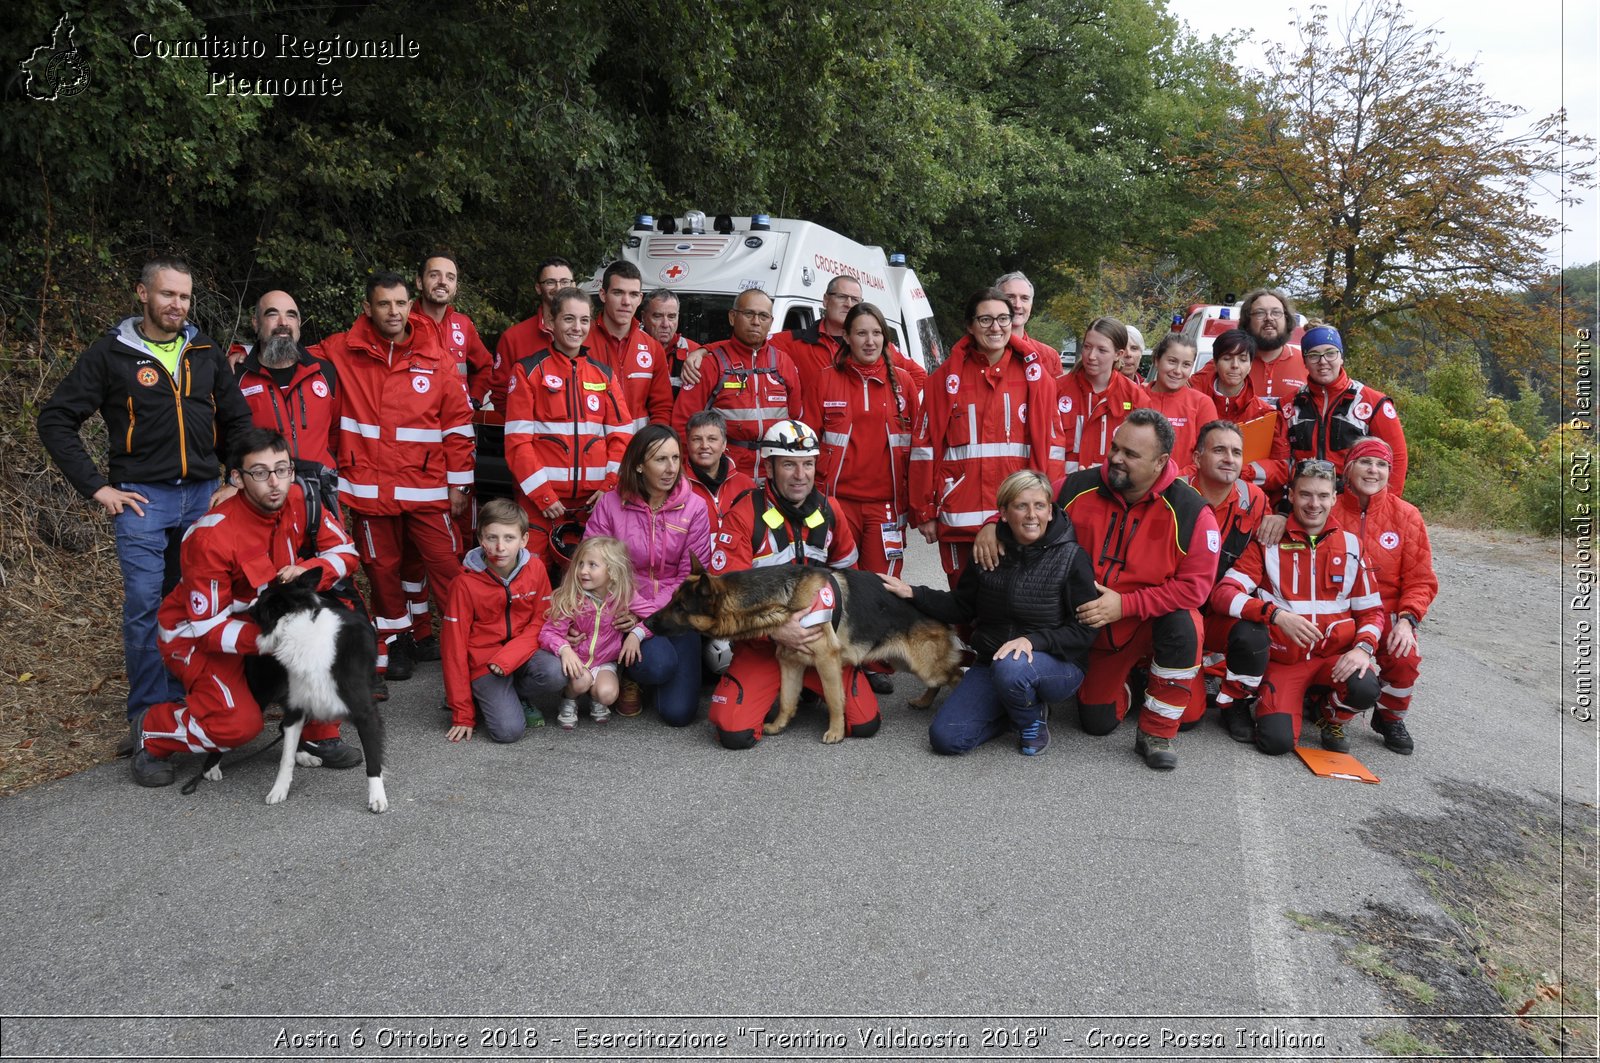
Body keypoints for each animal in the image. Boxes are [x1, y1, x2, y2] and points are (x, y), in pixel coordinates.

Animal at [198, 573, 388, 813]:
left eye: (262, 598)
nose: (245, 604)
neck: (301, 627)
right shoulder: (296, 708)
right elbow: (285, 759)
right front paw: (279, 789)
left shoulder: (365, 714)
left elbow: (373, 761)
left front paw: (377, 797)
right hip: (261, 693)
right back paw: (211, 766)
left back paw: (305, 755)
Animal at [649, 563, 960, 739]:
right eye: (673, 600)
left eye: (680, 607)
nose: (647, 622)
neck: (784, 599)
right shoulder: (790, 662)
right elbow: (788, 701)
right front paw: (778, 725)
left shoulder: (826, 662)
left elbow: (835, 701)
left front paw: (836, 732)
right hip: (906, 662)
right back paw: (924, 701)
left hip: (925, 666)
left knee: (956, 674)